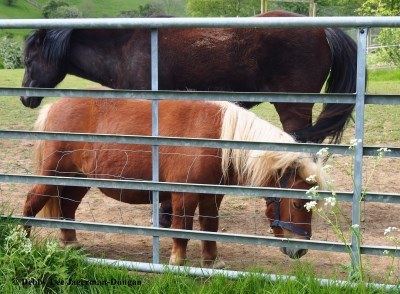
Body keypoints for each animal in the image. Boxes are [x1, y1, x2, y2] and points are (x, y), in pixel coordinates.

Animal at [23, 96, 326, 266]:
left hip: (77, 180)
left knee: (67, 208)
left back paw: (71, 243)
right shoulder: (184, 195)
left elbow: (210, 226)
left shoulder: (212, 195)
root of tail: (54, 106)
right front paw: (178, 261)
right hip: (53, 175)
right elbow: (182, 228)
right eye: (298, 205)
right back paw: (22, 241)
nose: (301, 250)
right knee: (32, 202)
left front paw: (212, 261)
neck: (217, 138)